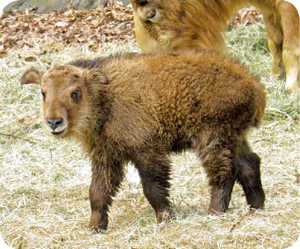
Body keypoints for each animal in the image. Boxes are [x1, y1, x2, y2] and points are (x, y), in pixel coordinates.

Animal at [20, 49, 264, 232]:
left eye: (75, 92)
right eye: (43, 92)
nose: (54, 122)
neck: (106, 97)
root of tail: (253, 84)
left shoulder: (148, 151)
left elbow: (153, 188)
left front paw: (164, 219)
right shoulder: (106, 158)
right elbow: (97, 193)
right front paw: (95, 227)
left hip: (213, 138)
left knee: (224, 172)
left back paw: (215, 212)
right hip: (235, 138)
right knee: (250, 164)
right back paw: (257, 206)